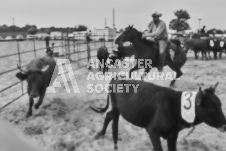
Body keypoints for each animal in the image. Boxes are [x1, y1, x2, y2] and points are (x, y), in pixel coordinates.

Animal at [90, 76, 226, 151]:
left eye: (220, 105)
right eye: (211, 108)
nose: (225, 125)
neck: (175, 107)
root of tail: (117, 77)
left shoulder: (172, 135)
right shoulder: (153, 131)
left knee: (108, 115)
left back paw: (100, 133)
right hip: (116, 107)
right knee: (113, 122)